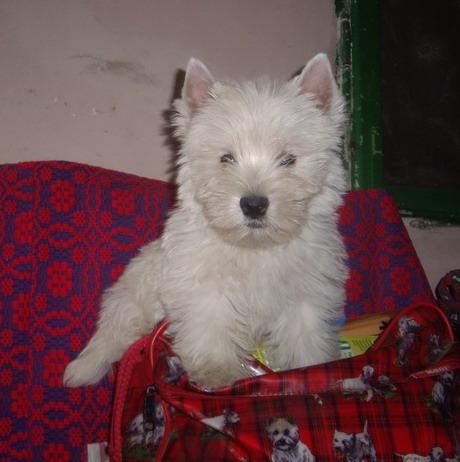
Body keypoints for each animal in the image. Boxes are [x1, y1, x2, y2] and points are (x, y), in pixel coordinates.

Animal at [63, 52, 346, 388]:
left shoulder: (305, 295)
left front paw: (311, 368)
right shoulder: (206, 289)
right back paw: (83, 369)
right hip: (134, 298)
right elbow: (211, 329)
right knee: (112, 334)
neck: (254, 247)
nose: (253, 205)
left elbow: (305, 338)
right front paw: (217, 372)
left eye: (288, 159)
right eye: (226, 158)